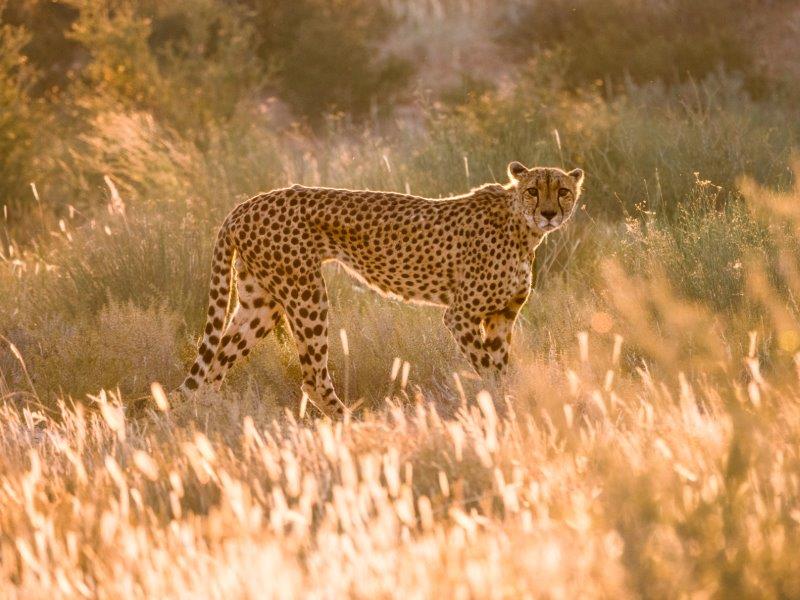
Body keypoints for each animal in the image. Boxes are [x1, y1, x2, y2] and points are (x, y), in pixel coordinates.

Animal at [180, 162, 580, 420]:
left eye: (562, 191)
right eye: (532, 191)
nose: (549, 214)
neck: (523, 228)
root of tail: (246, 204)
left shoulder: (501, 315)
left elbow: (501, 366)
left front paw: (510, 405)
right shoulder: (461, 315)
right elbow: (490, 371)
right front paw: (502, 405)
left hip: (260, 302)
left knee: (213, 368)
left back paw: (209, 422)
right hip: (306, 293)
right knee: (312, 379)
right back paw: (352, 424)